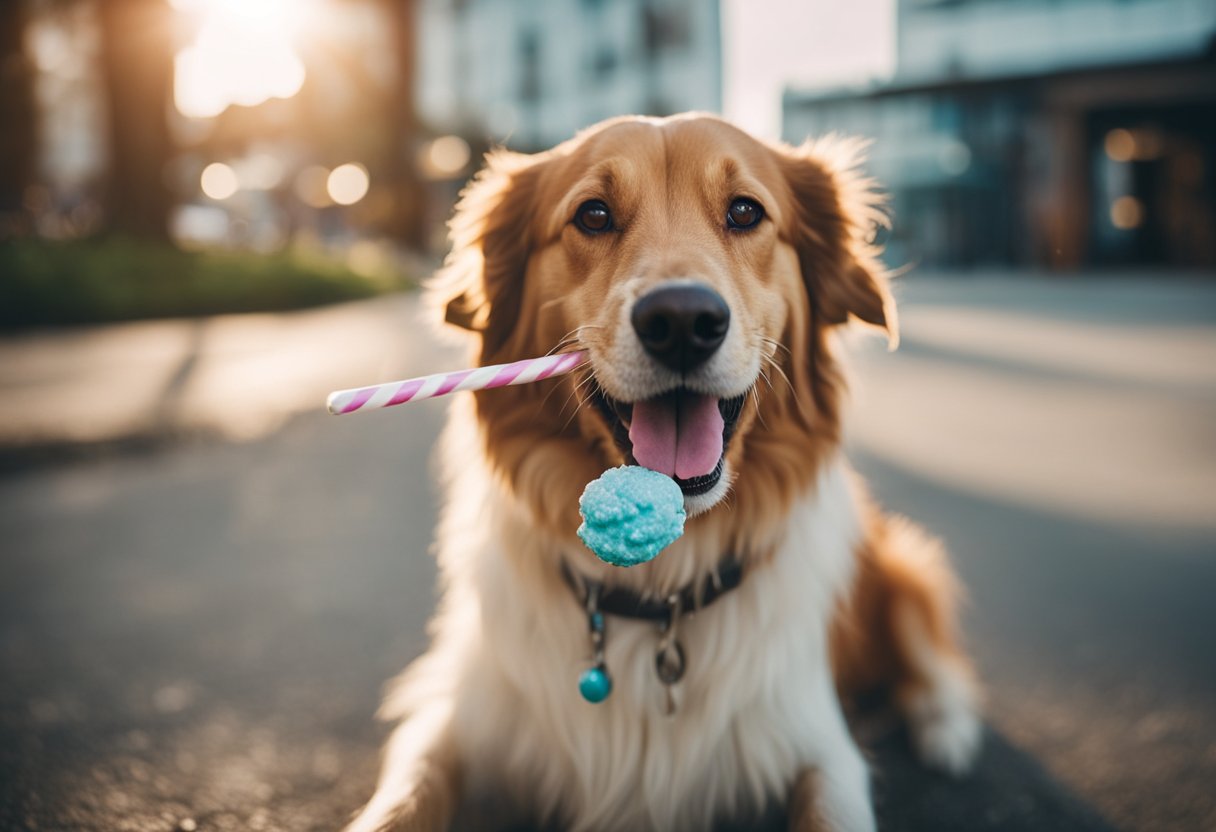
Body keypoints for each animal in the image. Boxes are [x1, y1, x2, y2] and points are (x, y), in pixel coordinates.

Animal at [347, 113, 982, 832]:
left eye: (745, 211)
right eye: (593, 215)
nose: (681, 321)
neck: (660, 592)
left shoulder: (815, 743)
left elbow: (833, 806)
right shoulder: (457, 711)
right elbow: (403, 797)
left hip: (902, 566)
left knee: (931, 652)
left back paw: (947, 730)